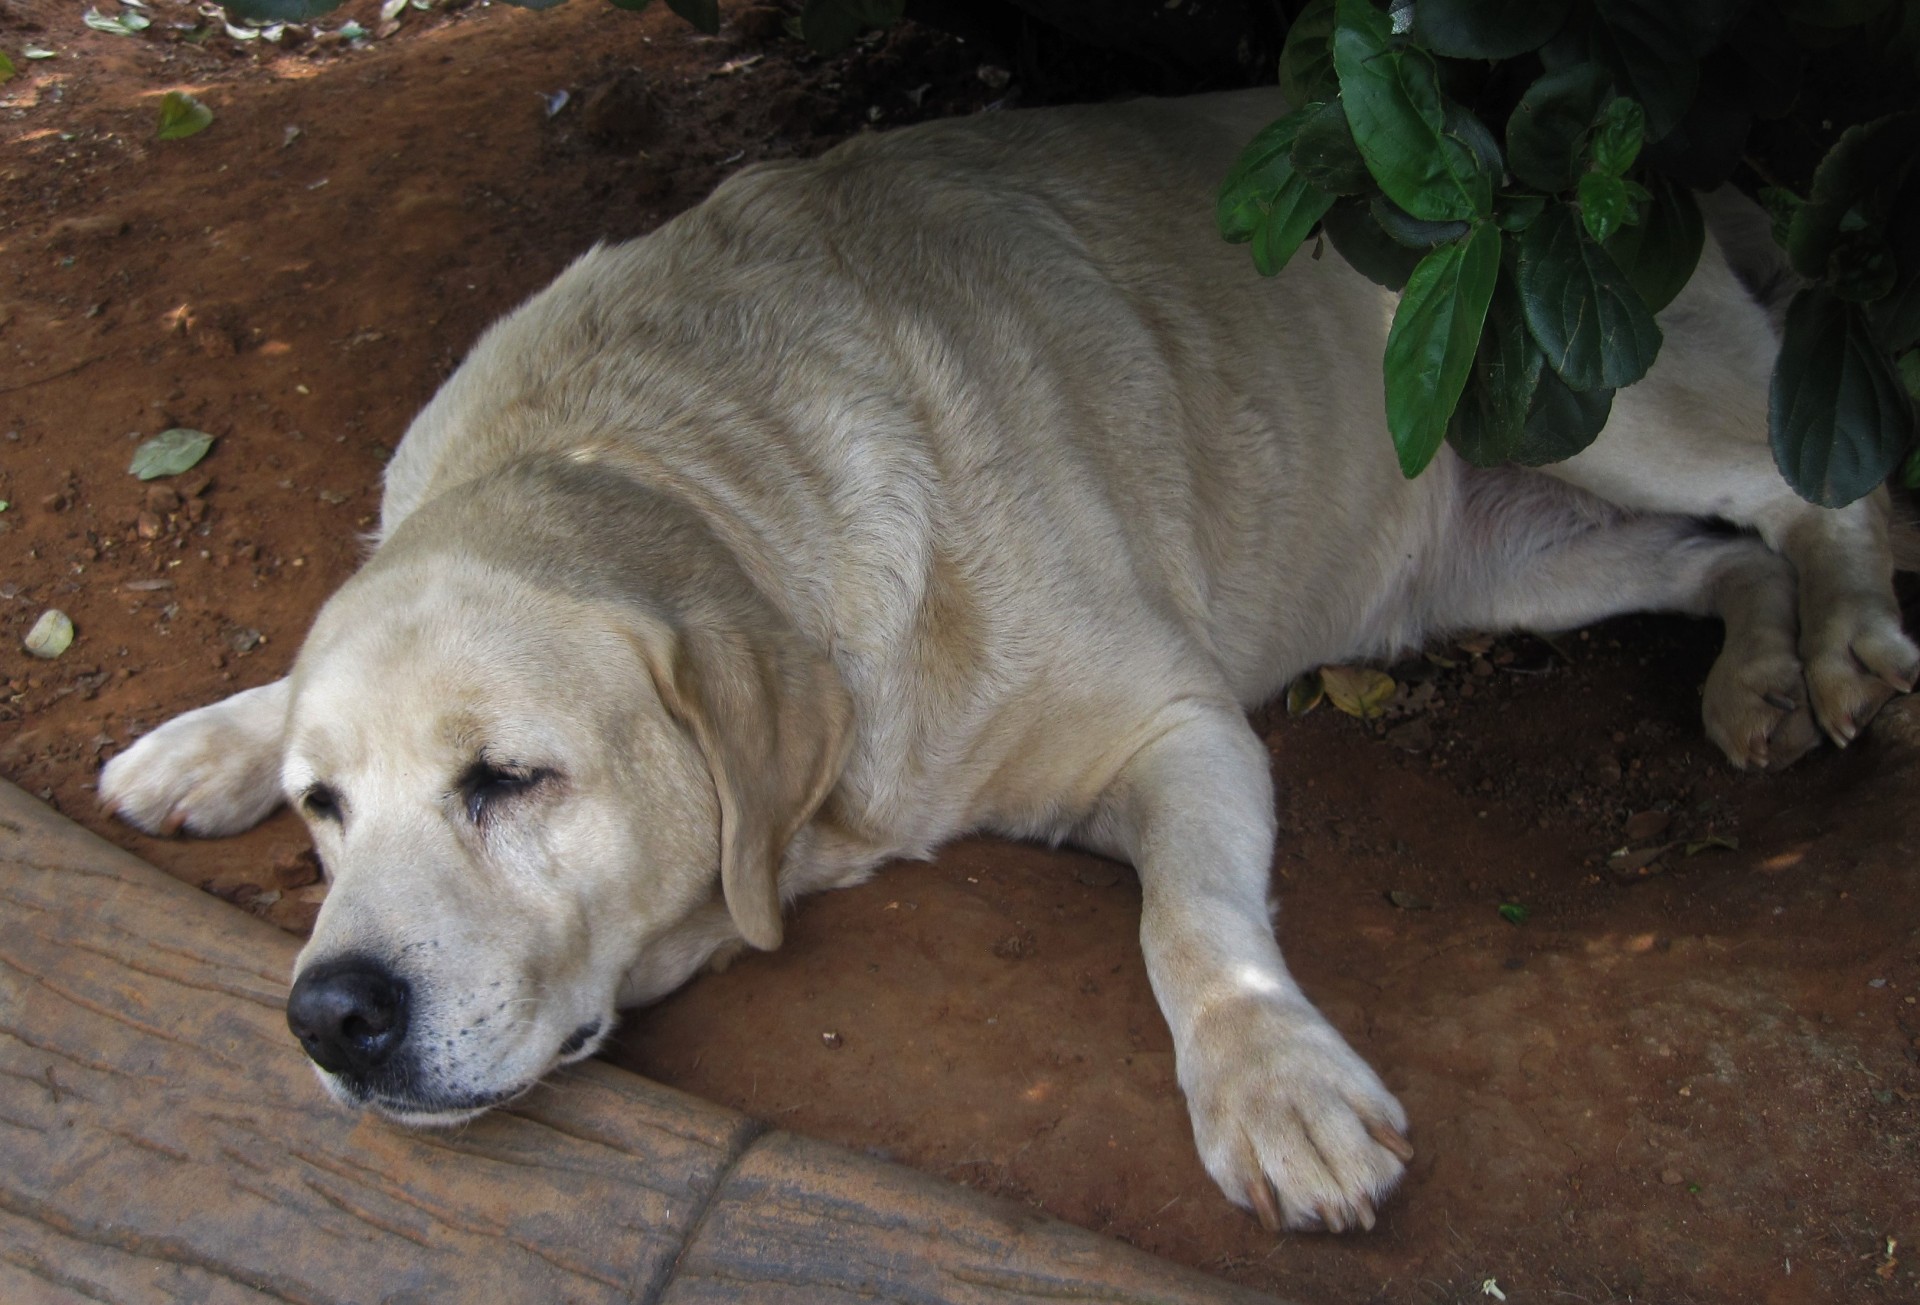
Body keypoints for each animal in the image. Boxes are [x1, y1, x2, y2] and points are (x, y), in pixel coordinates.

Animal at [105, 89, 1920, 1235]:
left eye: (510, 780)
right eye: (325, 811)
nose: (328, 1016)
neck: (688, 460)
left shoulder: (1180, 725)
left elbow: (1193, 930)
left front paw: (1271, 1081)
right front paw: (210, 738)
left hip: (1594, 379)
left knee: (1828, 492)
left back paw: (1848, 645)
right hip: (1516, 552)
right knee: (1725, 557)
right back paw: (1759, 673)